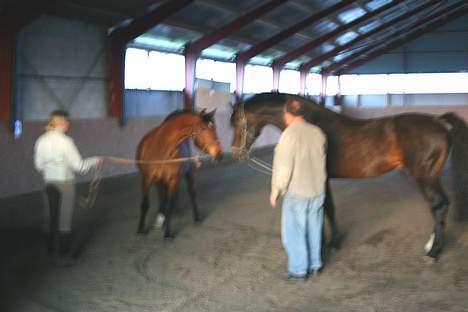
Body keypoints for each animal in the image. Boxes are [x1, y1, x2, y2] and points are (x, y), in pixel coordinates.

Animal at [135, 110, 223, 239]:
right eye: (203, 128)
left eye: (215, 128)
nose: (219, 154)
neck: (162, 148)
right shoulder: (147, 179)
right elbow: (145, 204)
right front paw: (141, 229)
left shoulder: (173, 180)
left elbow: (171, 206)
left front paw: (167, 233)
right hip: (158, 181)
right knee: (162, 196)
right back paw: (160, 219)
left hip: (187, 173)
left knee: (191, 193)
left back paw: (197, 218)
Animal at [230, 93, 468, 260]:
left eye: (238, 123)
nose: (235, 153)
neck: (311, 124)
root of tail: (438, 122)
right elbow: (328, 208)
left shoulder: (321, 178)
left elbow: (328, 209)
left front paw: (331, 244)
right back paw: (431, 245)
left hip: (425, 177)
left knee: (439, 206)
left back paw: (433, 252)